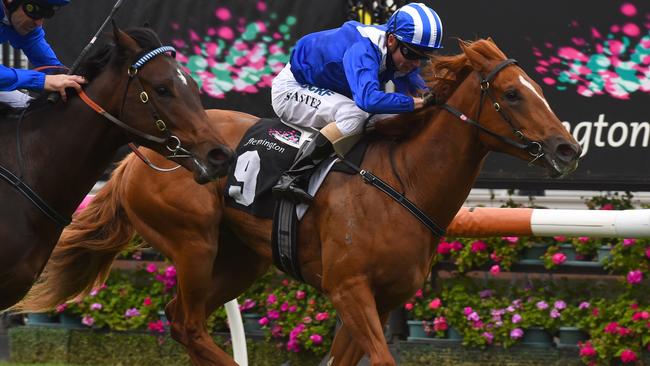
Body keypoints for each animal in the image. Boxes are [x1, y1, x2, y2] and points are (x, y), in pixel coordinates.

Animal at [19, 38, 576, 364]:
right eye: (512, 94)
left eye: (535, 86)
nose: (567, 147)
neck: (404, 182)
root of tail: (137, 158)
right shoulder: (348, 290)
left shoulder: (378, 299)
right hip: (194, 243)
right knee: (189, 323)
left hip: (240, 259)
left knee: (181, 321)